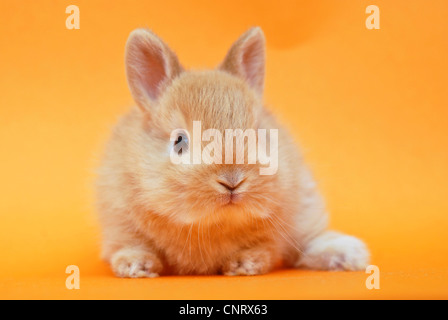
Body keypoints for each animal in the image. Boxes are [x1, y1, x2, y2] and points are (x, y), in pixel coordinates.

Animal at [95, 26, 368, 278]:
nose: (232, 180)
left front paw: (245, 264)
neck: (213, 224)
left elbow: (266, 248)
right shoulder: (121, 221)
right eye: (179, 141)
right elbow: (132, 245)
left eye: (257, 135)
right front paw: (135, 266)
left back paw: (352, 254)